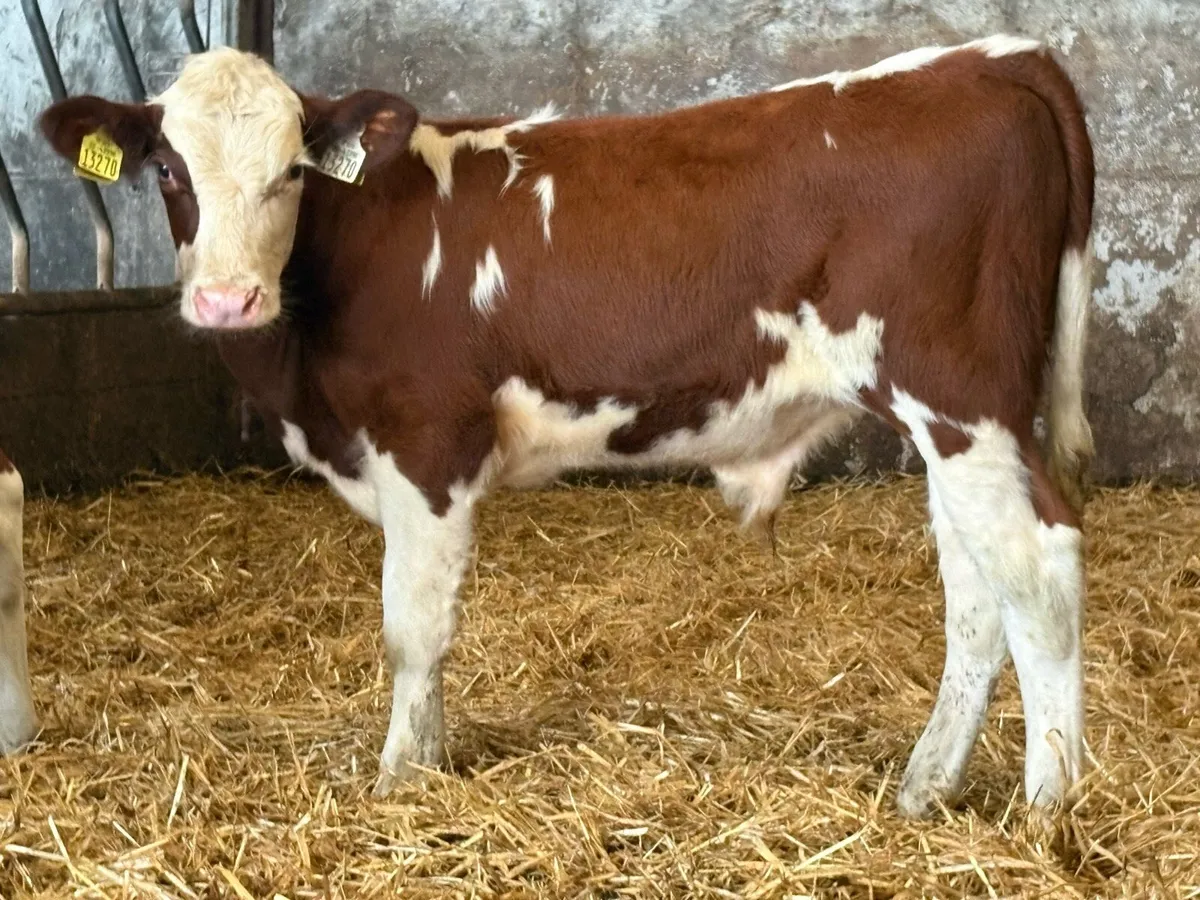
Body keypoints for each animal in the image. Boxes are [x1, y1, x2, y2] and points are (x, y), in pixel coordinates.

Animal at [39, 34, 1096, 818]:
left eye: (295, 170)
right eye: (166, 169)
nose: (227, 300)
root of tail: (992, 54)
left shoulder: (428, 444)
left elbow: (412, 629)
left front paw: (399, 780)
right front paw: (425, 765)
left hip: (962, 401)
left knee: (1040, 575)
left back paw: (1049, 810)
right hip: (955, 431)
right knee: (977, 594)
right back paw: (926, 789)